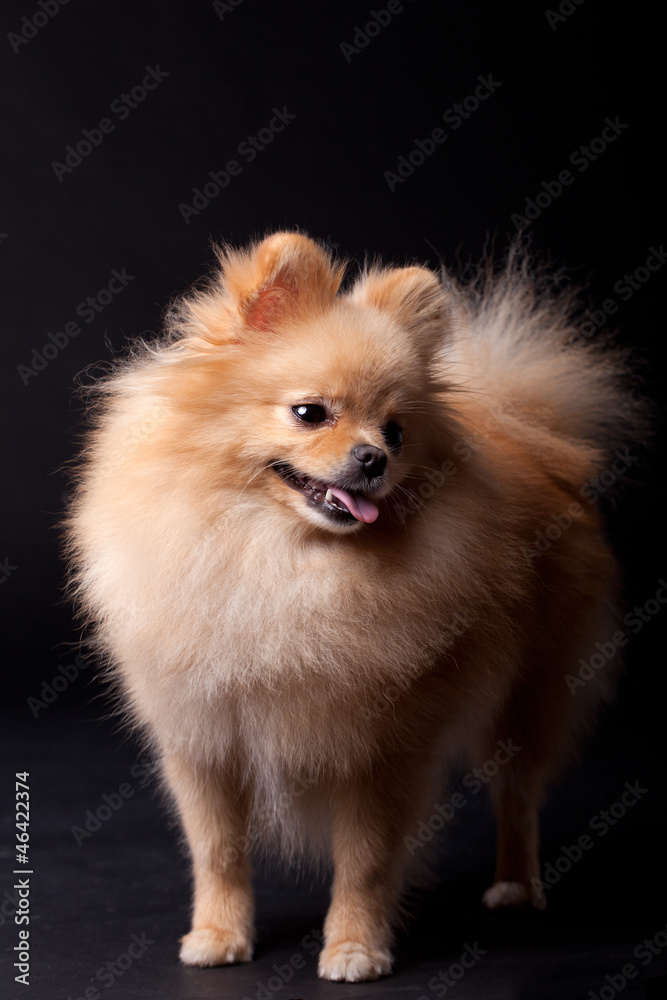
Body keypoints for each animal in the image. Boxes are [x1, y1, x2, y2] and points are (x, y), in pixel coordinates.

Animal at [66, 229, 640, 984]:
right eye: (310, 413)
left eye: (395, 432)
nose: (373, 458)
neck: (280, 561)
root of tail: (527, 439)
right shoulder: (203, 739)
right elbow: (217, 853)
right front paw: (218, 935)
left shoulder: (382, 751)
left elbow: (364, 863)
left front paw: (355, 948)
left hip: (530, 697)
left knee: (516, 794)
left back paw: (516, 885)